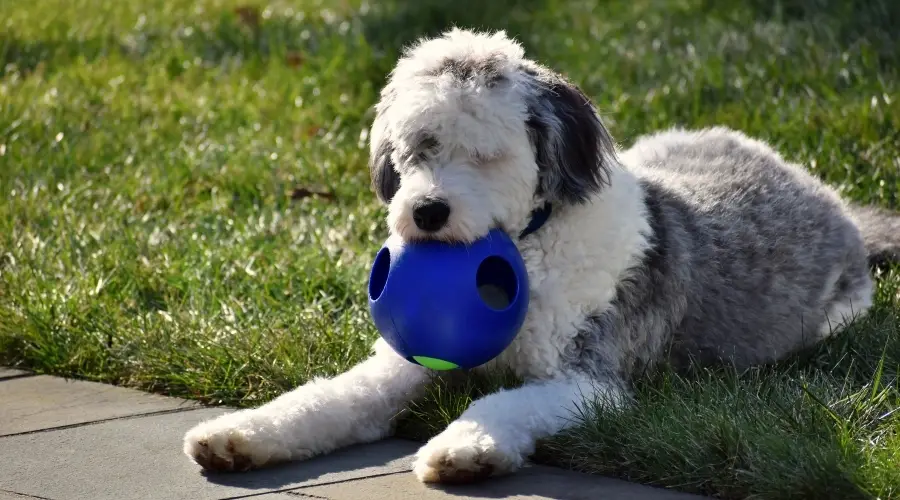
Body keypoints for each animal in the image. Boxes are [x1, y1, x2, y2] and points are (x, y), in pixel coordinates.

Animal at [183, 28, 900, 484]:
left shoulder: (587, 383)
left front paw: (465, 448)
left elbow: (502, 404)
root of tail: (815, 186)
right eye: (416, 148)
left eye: (486, 153)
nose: (427, 212)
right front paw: (239, 436)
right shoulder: (402, 365)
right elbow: (332, 398)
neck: (528, 246)